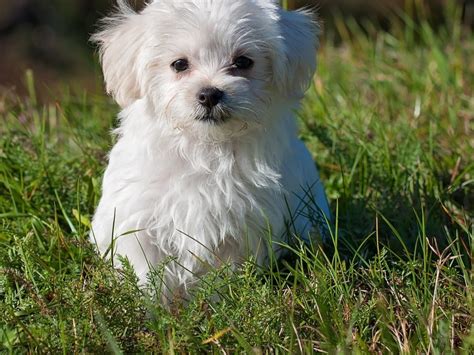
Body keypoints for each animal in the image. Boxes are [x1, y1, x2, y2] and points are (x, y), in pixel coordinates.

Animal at [90, 0, 332, 300]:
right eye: (179, 64)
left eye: (243, 62)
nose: (209, 94)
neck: (204, 147)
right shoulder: (138, 220)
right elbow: (146, 271)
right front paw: (151, 308)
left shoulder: (241, 227)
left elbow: (223, 273)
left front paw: (218, 303)